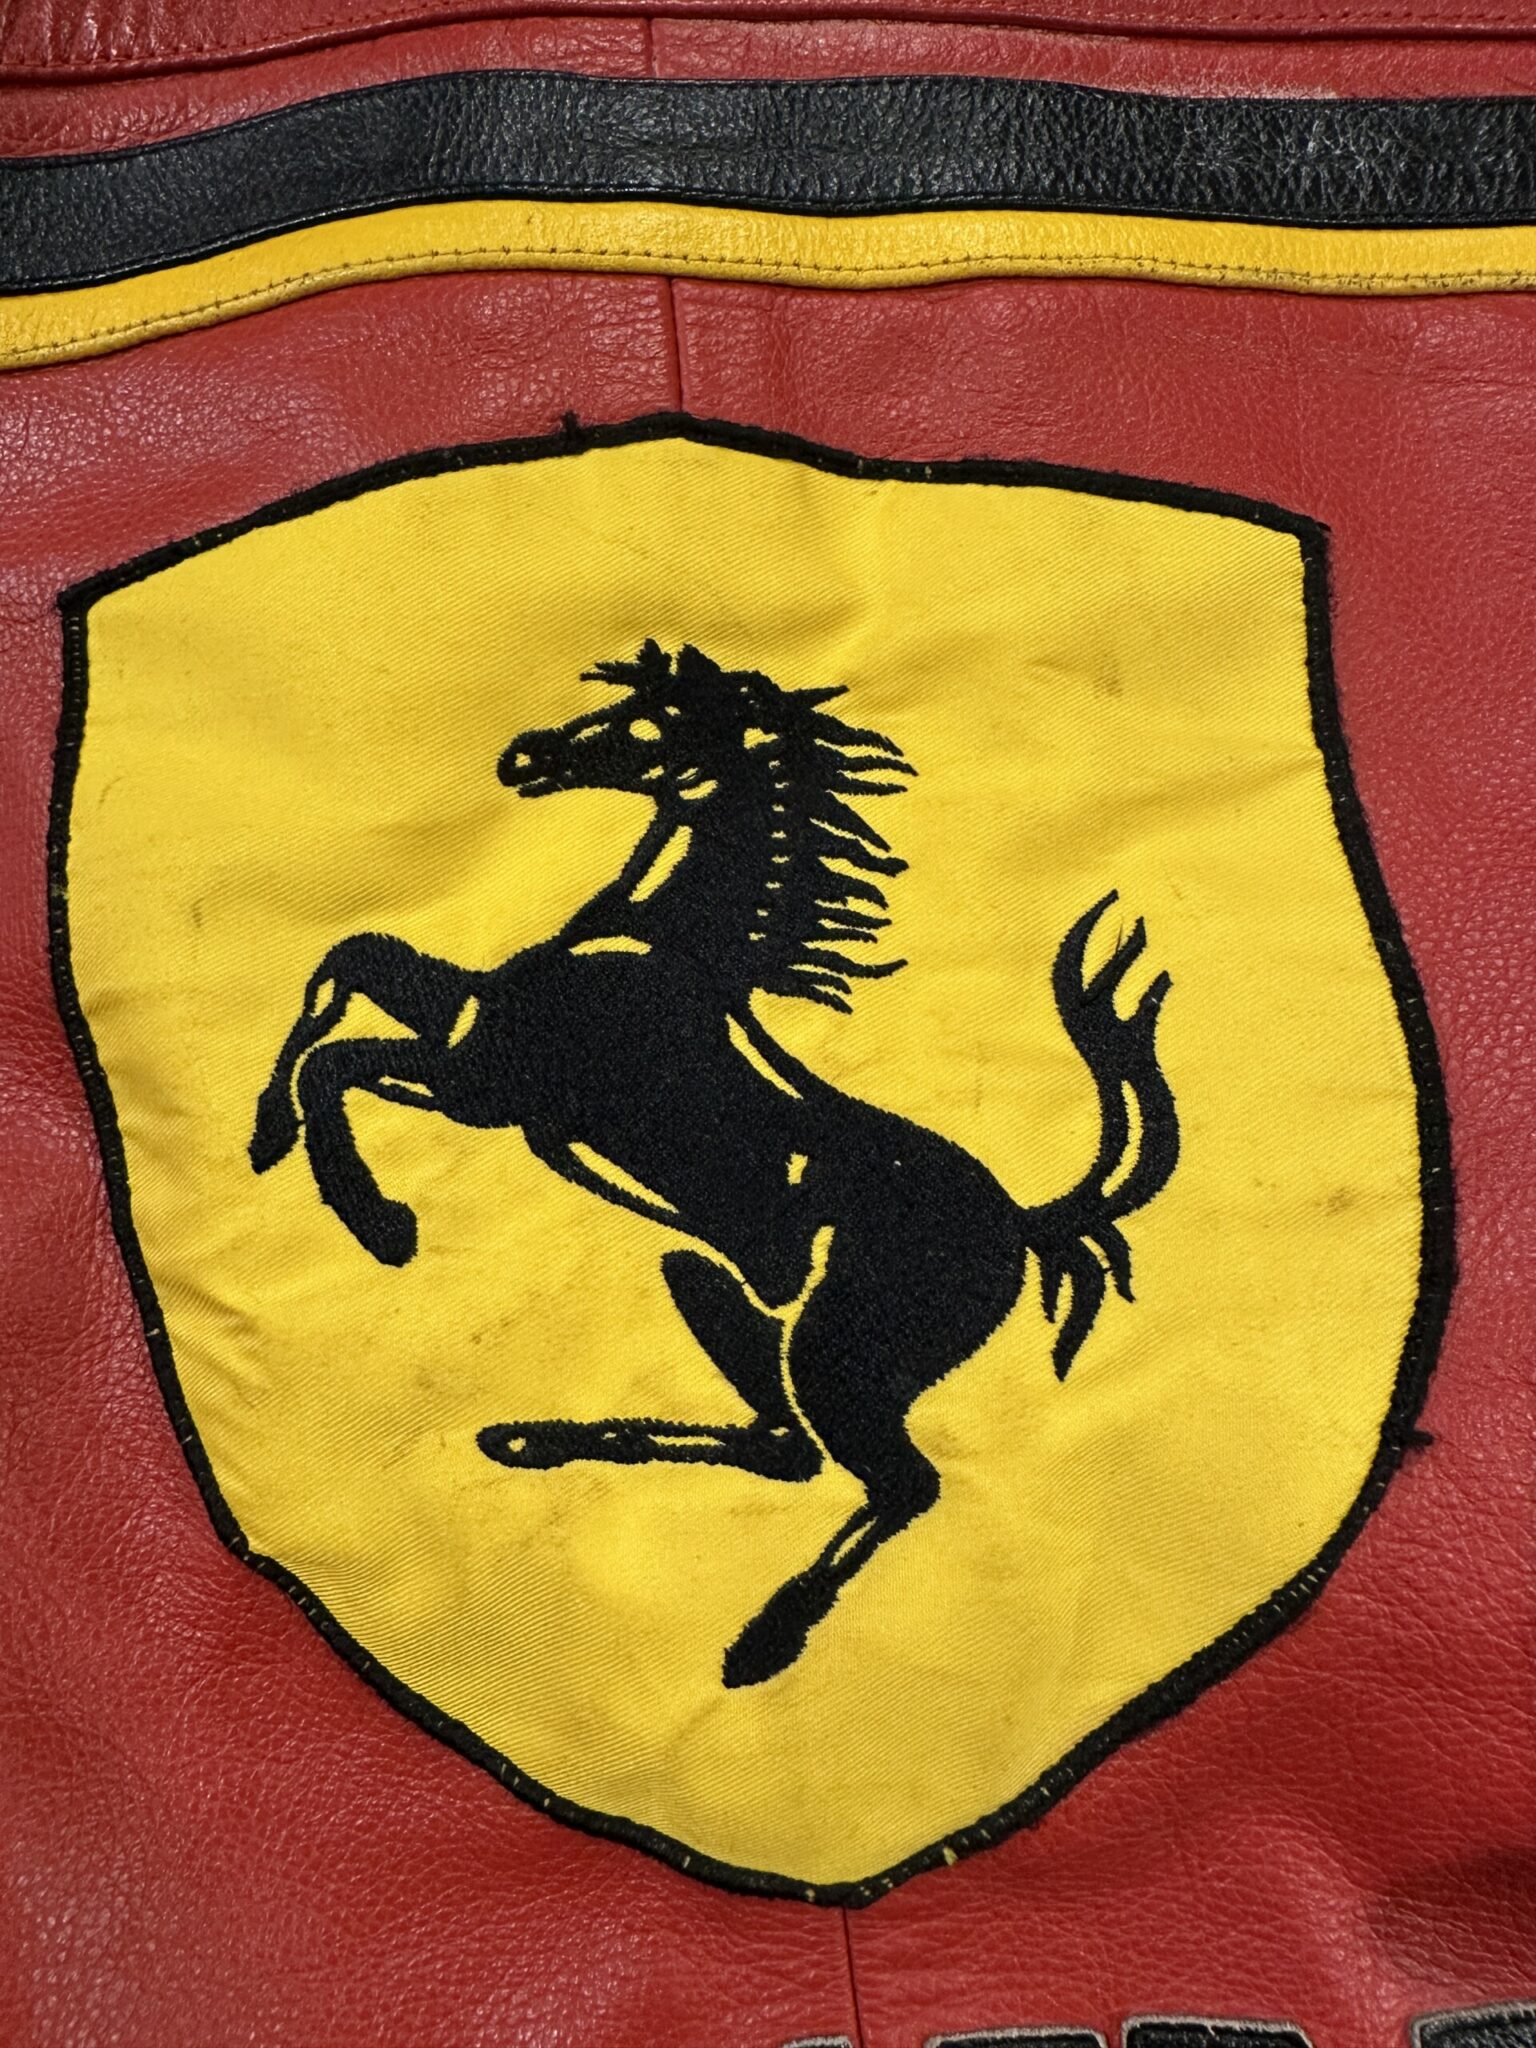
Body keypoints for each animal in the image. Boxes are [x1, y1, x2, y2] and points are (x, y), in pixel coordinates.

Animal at [250, 641, 1179, 1688]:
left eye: (653, 721)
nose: (524, 758)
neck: (666, 940)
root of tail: (1023, 1223)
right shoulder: (476, 1034)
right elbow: (349, 960)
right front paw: (267, 1137)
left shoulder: (485, 1083)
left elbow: (339, 1053)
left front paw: (378, 1221)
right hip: (705, 1278)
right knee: (787, 1447)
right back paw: (540, 1441)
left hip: (841, 1351)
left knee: (898, 1481)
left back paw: (765, 1638)